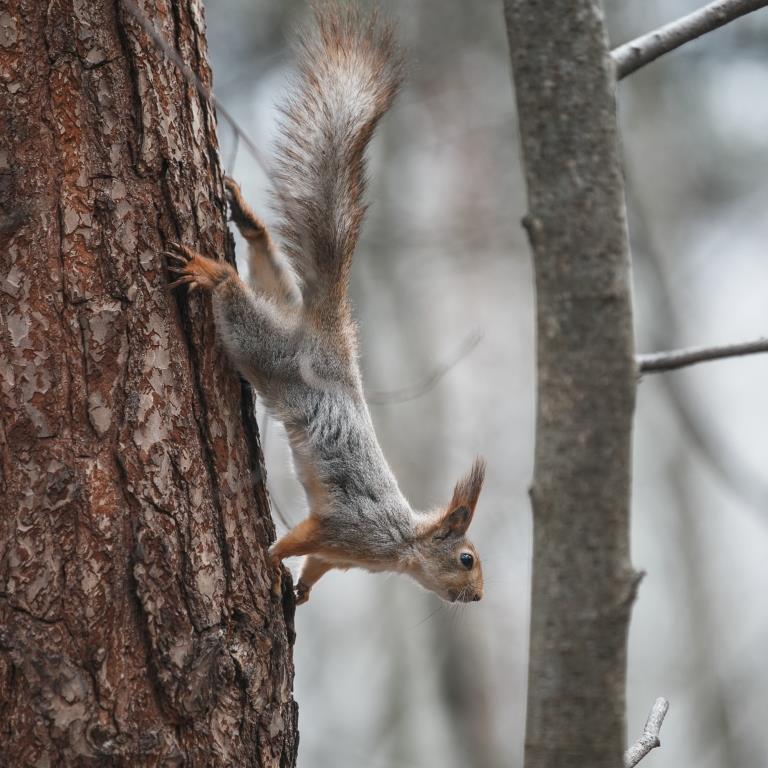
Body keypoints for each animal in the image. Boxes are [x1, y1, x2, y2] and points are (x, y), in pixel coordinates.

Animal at [166, 4, 486, 608]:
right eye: (466, 559)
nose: (478, 596)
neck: (399, 545)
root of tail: (330, 336)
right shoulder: (346, 527)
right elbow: (300, 538)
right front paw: (269, 560)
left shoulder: (338, 555)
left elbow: (315, 565)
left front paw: (299, 594)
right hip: (269, 349)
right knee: (236, 303)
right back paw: (214, 273)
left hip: (282, 307)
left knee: (269, 267)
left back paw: (247, 221)